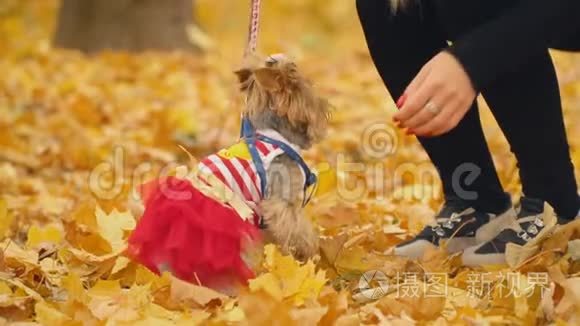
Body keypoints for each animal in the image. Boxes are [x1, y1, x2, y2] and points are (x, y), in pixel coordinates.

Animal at [130, 54, 330, 290]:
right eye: (304, 84)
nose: (327, 106)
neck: (274, 134)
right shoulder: (281, 202)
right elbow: (299, 228)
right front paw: (306, 251)